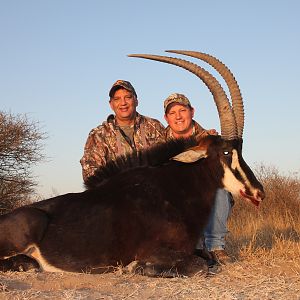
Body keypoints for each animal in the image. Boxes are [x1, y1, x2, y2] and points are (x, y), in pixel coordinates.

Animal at [0, 51, 262, 276]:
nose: (259, 191)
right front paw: (135, 267)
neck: (174, 190)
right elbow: (198, 266)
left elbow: (207, 258)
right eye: (226, 152)